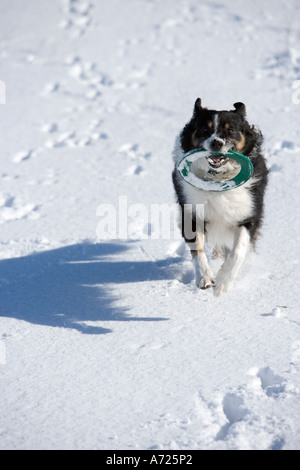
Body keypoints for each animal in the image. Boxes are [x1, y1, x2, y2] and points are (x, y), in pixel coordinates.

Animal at [172, 98, 268, 298]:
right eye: (204, 129)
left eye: (230, 130)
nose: (216, 143)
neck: (218, 182)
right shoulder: (191, 213)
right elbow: (197, 247)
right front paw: (204, 278)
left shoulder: (248, 214)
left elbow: (238, 250)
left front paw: (223, 282)